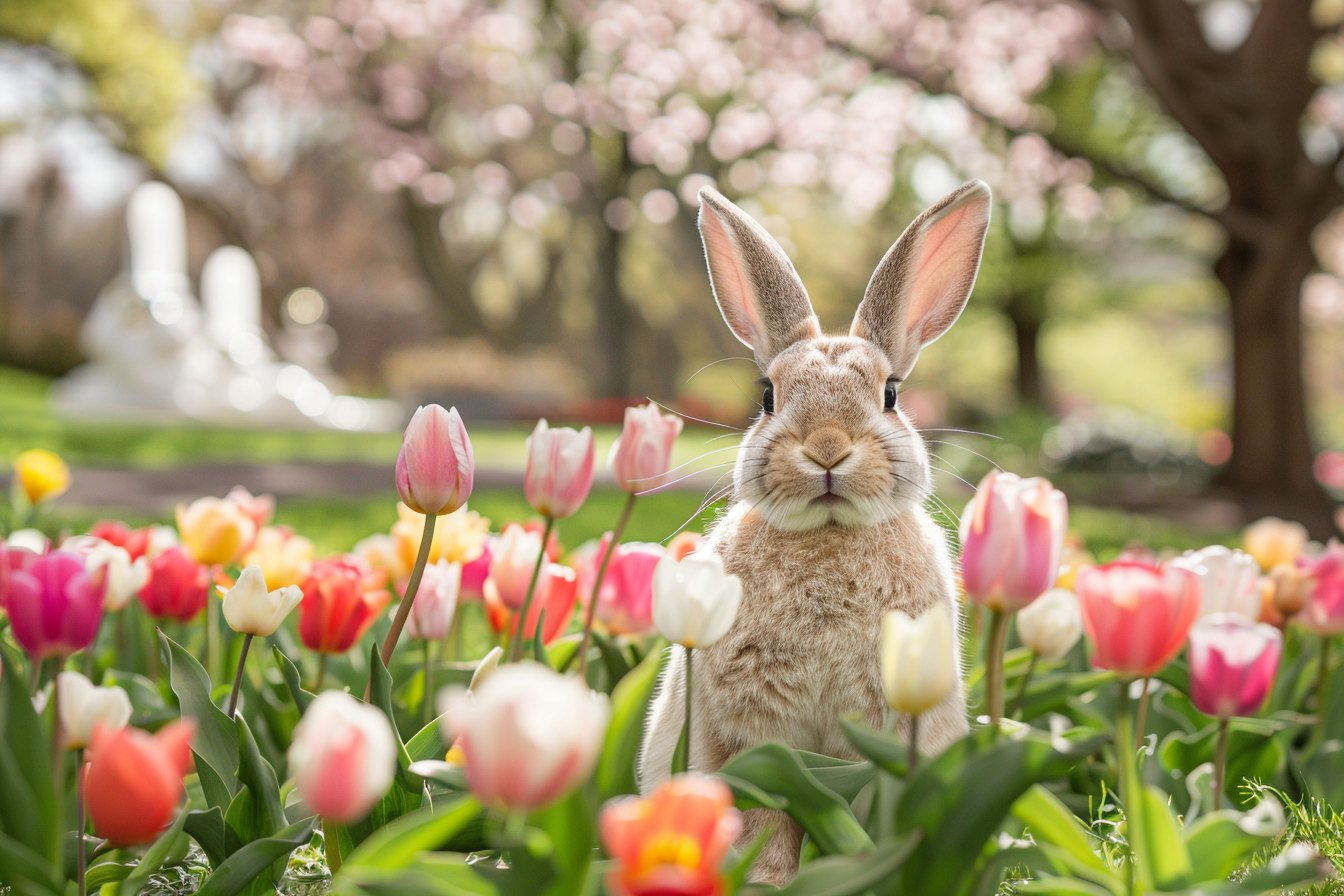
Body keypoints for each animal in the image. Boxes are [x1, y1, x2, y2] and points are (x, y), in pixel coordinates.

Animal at [637, 179, 992, 886]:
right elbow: (767, 821)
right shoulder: (754, 742)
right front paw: (768, 882)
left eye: (890, 394)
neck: (829, 535)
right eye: (768, 397)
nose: (827, 448)